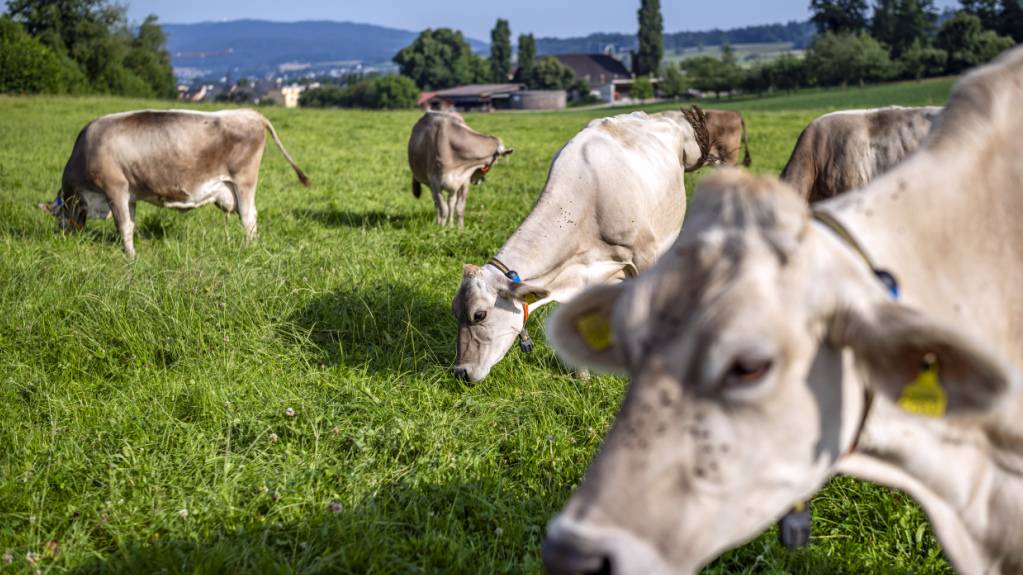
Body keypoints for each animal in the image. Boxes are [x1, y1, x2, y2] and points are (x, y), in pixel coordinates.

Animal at [40, 109, 309, 258]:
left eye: (58, 217)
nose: (64, 238)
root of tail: (251, 113)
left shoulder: (114, 188)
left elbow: (122, 226)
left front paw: (130, 256)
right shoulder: (129, 195)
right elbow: (131, 224)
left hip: (244, 182)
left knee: (248, 218)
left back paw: (248, 249)